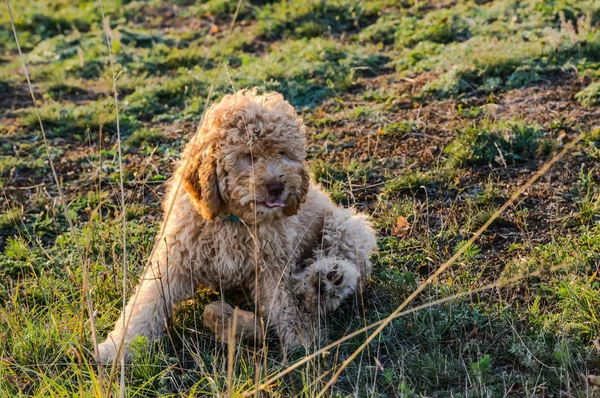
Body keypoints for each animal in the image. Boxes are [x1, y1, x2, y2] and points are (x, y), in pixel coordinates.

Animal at [98, 88, 378, 362]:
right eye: (247, 155)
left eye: (282, 153)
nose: (277, 187)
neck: (234, 221)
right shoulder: (174, 259)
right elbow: (147, 302)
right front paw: (117, 348)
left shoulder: (272, 266)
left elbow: (287, 305)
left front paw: (302, 340)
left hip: (346, 227)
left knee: (338, 273)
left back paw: (327, 282)